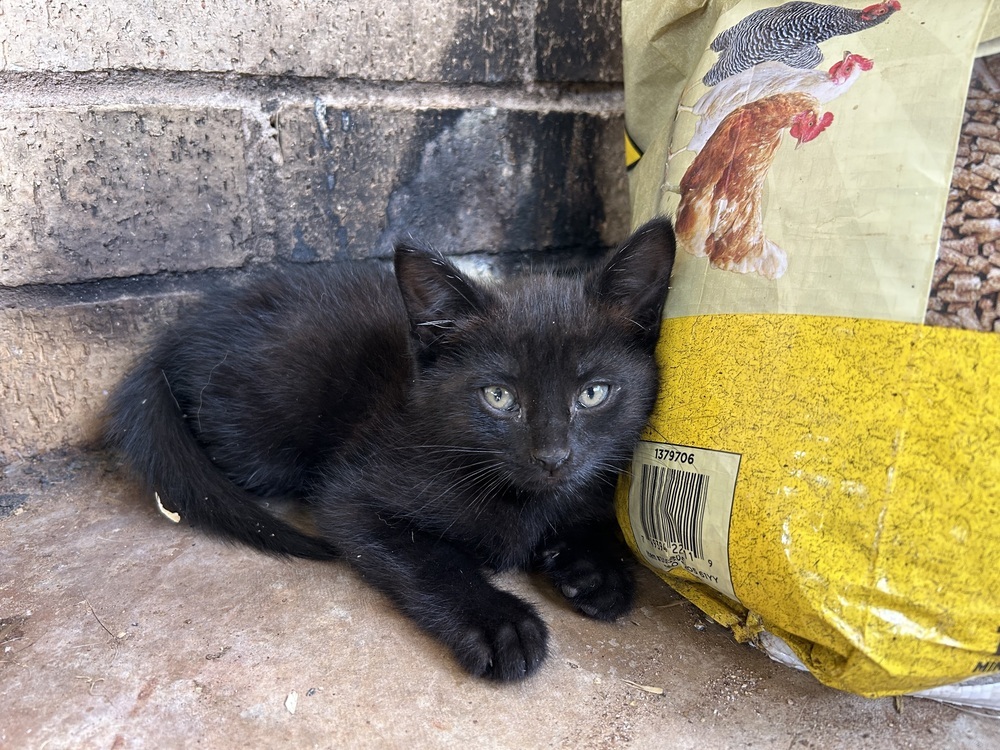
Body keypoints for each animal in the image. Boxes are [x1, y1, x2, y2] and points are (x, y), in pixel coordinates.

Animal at [105, 217, 676, 680]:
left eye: (594, 393)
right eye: (499, 397)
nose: (553, 457)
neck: (524, 498)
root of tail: (173, 337)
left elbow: (596, 519)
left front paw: (595, 572)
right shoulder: (352, 493)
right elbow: (430, 559)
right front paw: (500, 624)